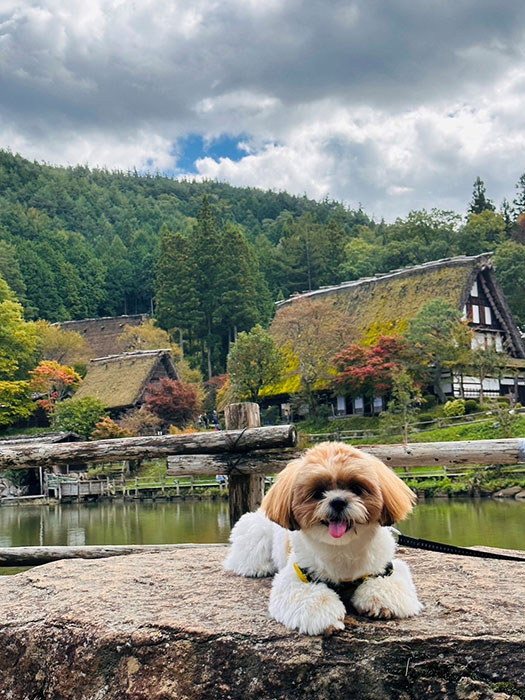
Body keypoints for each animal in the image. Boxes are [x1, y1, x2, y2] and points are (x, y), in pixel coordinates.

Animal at [223, 442, 424, 636]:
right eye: (318, 492)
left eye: (356, 488)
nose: (338, 501)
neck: (342, 548)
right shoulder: (295, 577)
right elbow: (311, 597)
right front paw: (327, 619)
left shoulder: (386, 568)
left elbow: (388, 585)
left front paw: (381, 604)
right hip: (255, 533)